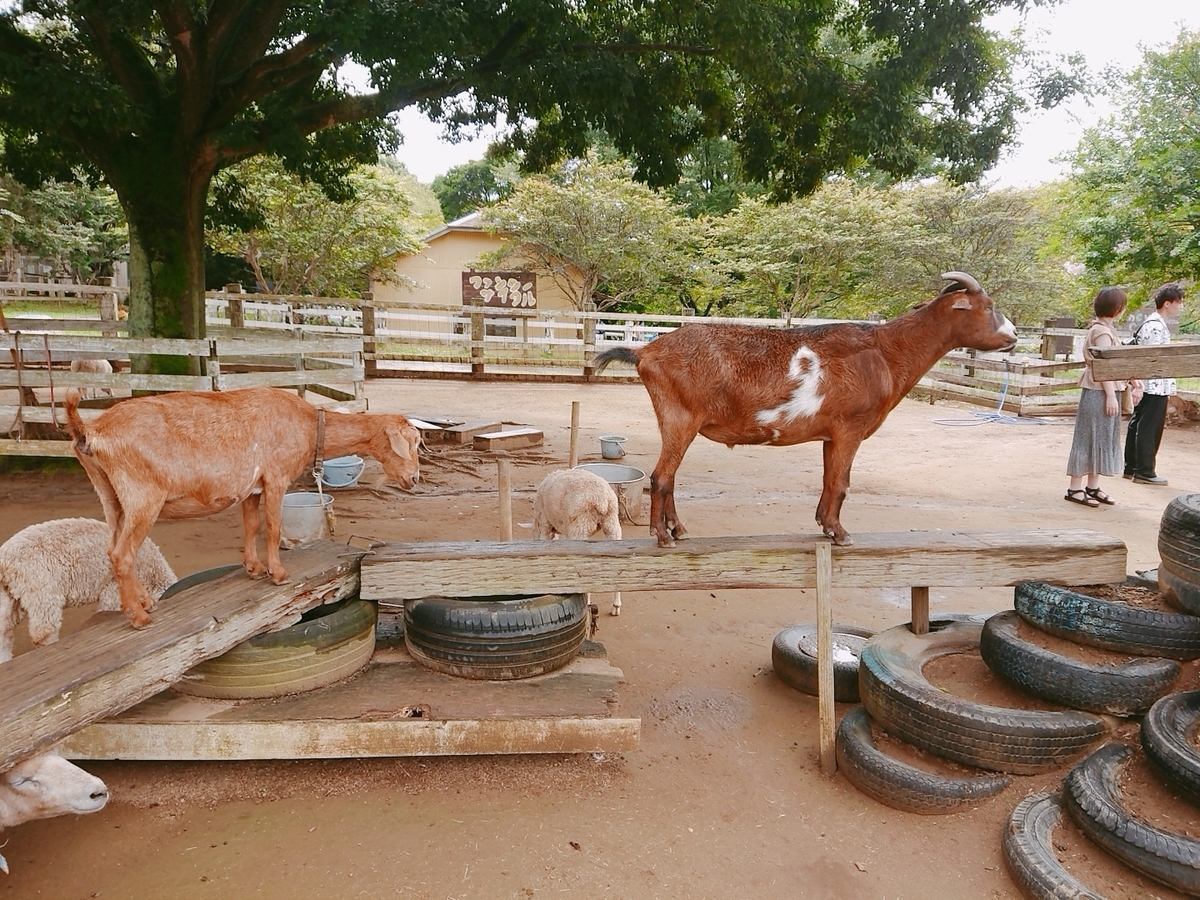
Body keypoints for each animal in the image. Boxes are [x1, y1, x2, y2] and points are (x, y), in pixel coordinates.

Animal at [0, 520, 177, 662]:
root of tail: (5, 560)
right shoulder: (113, 587)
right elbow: (109, 608)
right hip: (40, 585)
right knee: (42, 631)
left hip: (8, 594)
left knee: (4, 632)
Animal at [66, 388, 422, 633]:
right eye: (411, 444)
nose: (414, 478)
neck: (308, 424)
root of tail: (90, 431)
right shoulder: (276, 477)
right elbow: (273, 527)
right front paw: (278, 574)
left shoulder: (252, 487)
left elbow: (251, 525)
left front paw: (253, 568)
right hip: (143, 496)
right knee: (123, 553)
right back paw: (139, 616)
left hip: (112, 498)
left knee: (114, 549)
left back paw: (145, 601)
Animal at [537, 468, 628, 619]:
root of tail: (601, 500)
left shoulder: (545, 523)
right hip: (612, 523)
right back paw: (616, 606)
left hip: (580, 526)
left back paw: (587, 602)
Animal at [595, 271, 1017, 547]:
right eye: (988, 307)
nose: (1013, 336)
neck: (886, 351)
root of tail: (645, 351)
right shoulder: (851, 428)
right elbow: (843, 483)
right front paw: (841, 533)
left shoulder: (832, 434)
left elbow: (830, 480)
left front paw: (824, 526)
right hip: (679, 417)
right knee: (661, 477)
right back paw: (663, 536)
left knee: (670, 477)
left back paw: (678, 530)